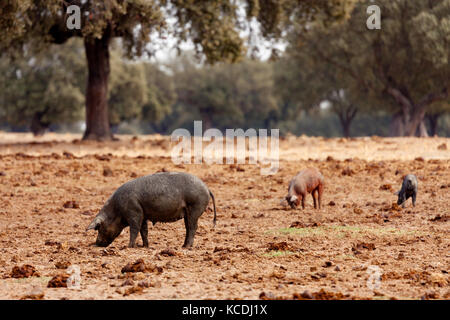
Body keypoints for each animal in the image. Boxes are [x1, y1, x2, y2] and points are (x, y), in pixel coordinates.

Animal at [87, 172, 217, 248]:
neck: (116, 210)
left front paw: (129, 246)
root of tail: (207, 188)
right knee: (188, 227)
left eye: (100, 228)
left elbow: (134, 230)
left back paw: (187, 247)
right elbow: (144, 231)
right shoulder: (143, 215)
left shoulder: (134, 212)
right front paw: (145, 246)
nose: (97, 243)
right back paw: (183, 246)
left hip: (195, 207)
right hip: (188, 213)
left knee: (193, 227)